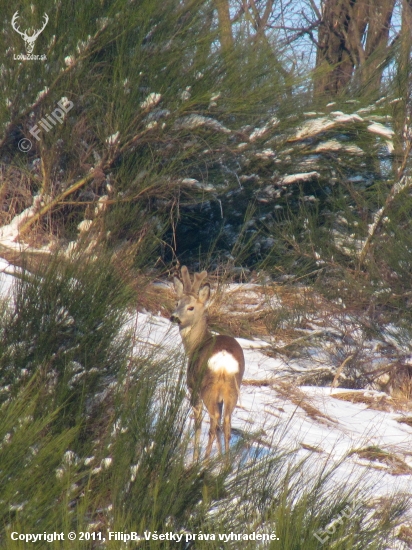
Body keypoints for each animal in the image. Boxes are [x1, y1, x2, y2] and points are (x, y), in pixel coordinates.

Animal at [171, 268, 245, 462]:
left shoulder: (192, 386)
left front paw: (195, 457)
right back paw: (225, 464)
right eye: (177, 302)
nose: (174, 317)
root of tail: (224, 360)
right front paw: (218, 456)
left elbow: (197, 423)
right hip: (232, 389)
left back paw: (202, 462)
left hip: (207, 388)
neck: (196, 345)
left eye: (191, 307)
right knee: (225, 422)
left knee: (213, 422)